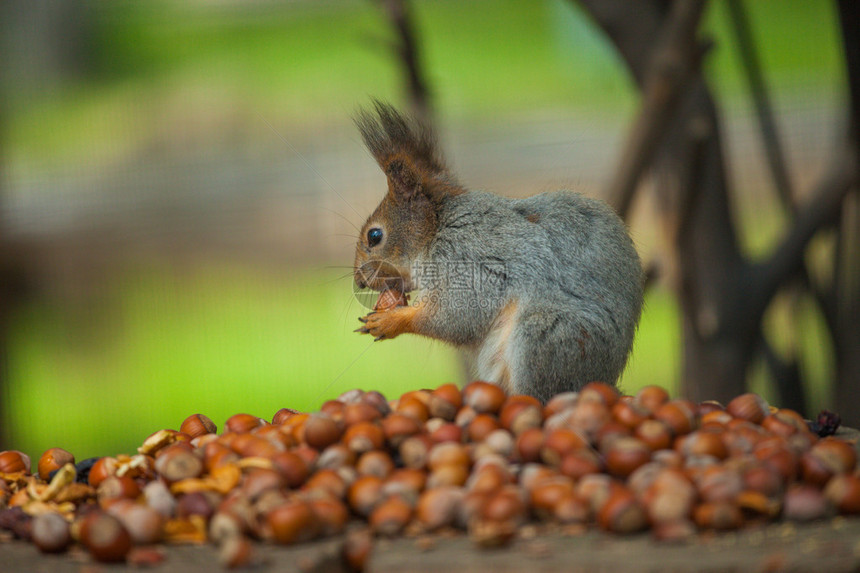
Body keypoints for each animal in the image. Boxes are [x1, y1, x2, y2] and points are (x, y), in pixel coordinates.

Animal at [352, 99, 640, 402]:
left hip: (548, 337)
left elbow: (454, 316)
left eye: (374, 236)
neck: (438, 229)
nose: (359, 281)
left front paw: (389, 321)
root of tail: (604, 379)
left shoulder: (467, 258)